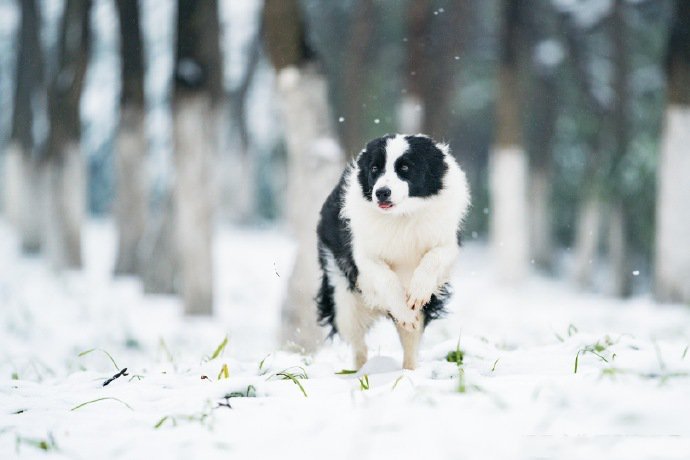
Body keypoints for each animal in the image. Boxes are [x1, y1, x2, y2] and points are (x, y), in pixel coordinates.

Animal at [316, 134, 468, 370]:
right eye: (374, 168)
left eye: (405, 167)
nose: (381, 193)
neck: (401, 216)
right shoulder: (362, 256)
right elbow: (385, 277)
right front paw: (403, 310)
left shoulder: (446, 240)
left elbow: (434, 257)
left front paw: (418, 291)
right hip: (343, 300)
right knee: (358, 343)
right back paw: (360, 372)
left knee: (411, 339)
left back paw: (409, 372)